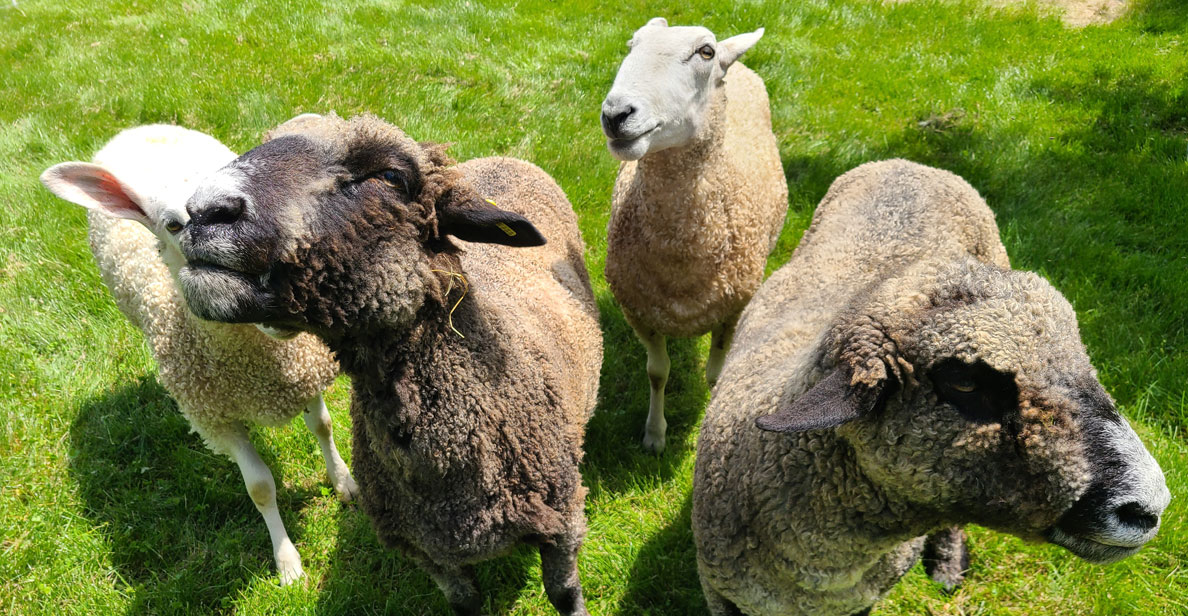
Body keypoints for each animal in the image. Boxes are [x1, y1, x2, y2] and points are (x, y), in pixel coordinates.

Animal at [40, 123, 359, 586]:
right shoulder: (217, 419)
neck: (260, 365)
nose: (272, 293)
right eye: (174, 225)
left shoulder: (305, 375)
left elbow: (323, 425)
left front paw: (345, 483)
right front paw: (287, 563)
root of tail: (139, 128)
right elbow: (260, 487)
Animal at [173, 113, 603, 616]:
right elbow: (465, 603)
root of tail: (506, 158)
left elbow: (564, 594)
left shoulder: (564, 521)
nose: (203, 211)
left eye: (392, 176)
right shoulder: (429, 553)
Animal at [600, 17, 789, 453]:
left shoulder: (734, 309)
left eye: (705, 52)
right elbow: (657, 372)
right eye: (631, 45)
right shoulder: (638, 310)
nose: (616, 114)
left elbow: (715, 376)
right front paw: (655, 435)